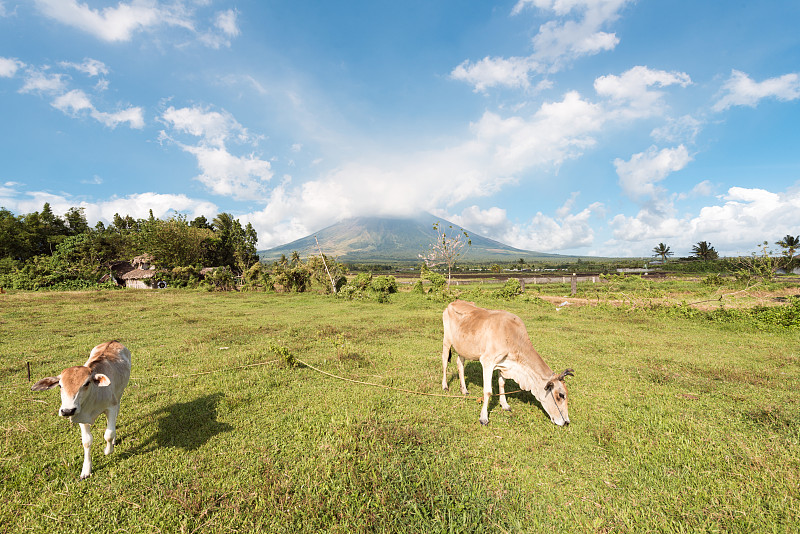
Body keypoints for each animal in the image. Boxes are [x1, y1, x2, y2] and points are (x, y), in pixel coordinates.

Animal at [30, 344, 131, 482]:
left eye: (86, 383)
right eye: (60, 385)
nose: (67, 410)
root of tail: (114, 341)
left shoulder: (111, 407)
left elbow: (109, 434)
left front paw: (107, 450)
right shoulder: (81, 416)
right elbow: (87, 441)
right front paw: (86, 470)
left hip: (119, 394)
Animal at [438, 302, 576, 428]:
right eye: (561, 395)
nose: (566, 422)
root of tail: (452, 303)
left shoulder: (503, 365)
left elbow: (502, 384)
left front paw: (504, 405)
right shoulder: (487, 362)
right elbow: (487, 391)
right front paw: (483, 418)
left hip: (463, 348)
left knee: (460, 364)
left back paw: (464, 390)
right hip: (446, 341)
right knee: (444, 362)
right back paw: (445, 386)